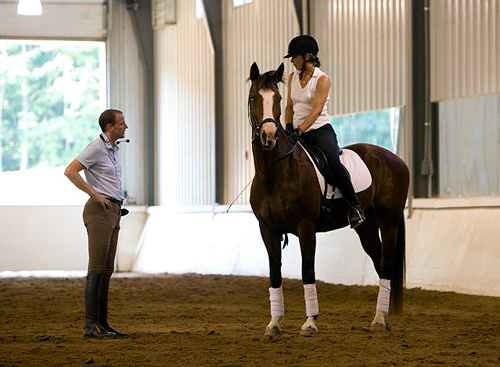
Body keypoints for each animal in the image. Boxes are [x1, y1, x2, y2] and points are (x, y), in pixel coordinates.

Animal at [249, 62, 410, 336]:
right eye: (253, 98)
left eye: (278, 99)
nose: (269, 136)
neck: (276, 170)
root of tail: (396, 159)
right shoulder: (267, 229)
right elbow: (274, 273)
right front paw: (274, 323)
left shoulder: (305, 228)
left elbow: (307, 270)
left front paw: (310, 322)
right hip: (367, 227)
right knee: (379, 263)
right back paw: (383, 317)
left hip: (389, 223)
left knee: (386, 264)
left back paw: (379, 320)